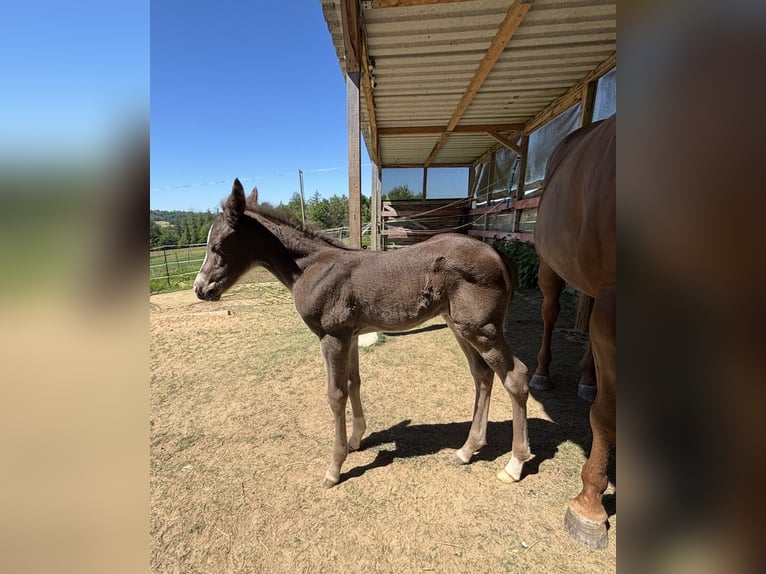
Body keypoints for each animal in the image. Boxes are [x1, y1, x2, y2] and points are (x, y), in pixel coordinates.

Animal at [194, 178, 531, 489]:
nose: (200, 289)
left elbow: (335, 394)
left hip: (482, 329)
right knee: (482, 375)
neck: (311, 268)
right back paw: (466, 450)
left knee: (515, 377)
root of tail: (500, 257)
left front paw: (334, 467)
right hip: (460, 327)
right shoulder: (351, 335)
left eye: (218, 246)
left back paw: (514, 464)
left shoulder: (332, 336)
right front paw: (356, 438)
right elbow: (354, 382)